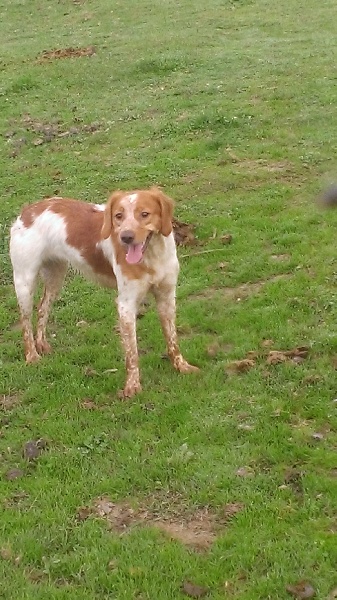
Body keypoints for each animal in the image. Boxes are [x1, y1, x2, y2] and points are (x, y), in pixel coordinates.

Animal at [10, 185, 198, 396]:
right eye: (118, 216)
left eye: (144, 214)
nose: (126, 237)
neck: (152, 257)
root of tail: (27, 211)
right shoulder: (126, 305)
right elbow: (132, 352)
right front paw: (132, 386)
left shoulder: (166, 297)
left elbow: (172, 338)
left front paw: (182, 366)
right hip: (24, 280)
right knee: (25, 321)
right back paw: (32, 356)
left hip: (55, 277)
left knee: (43, 308)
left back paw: (42, 345)